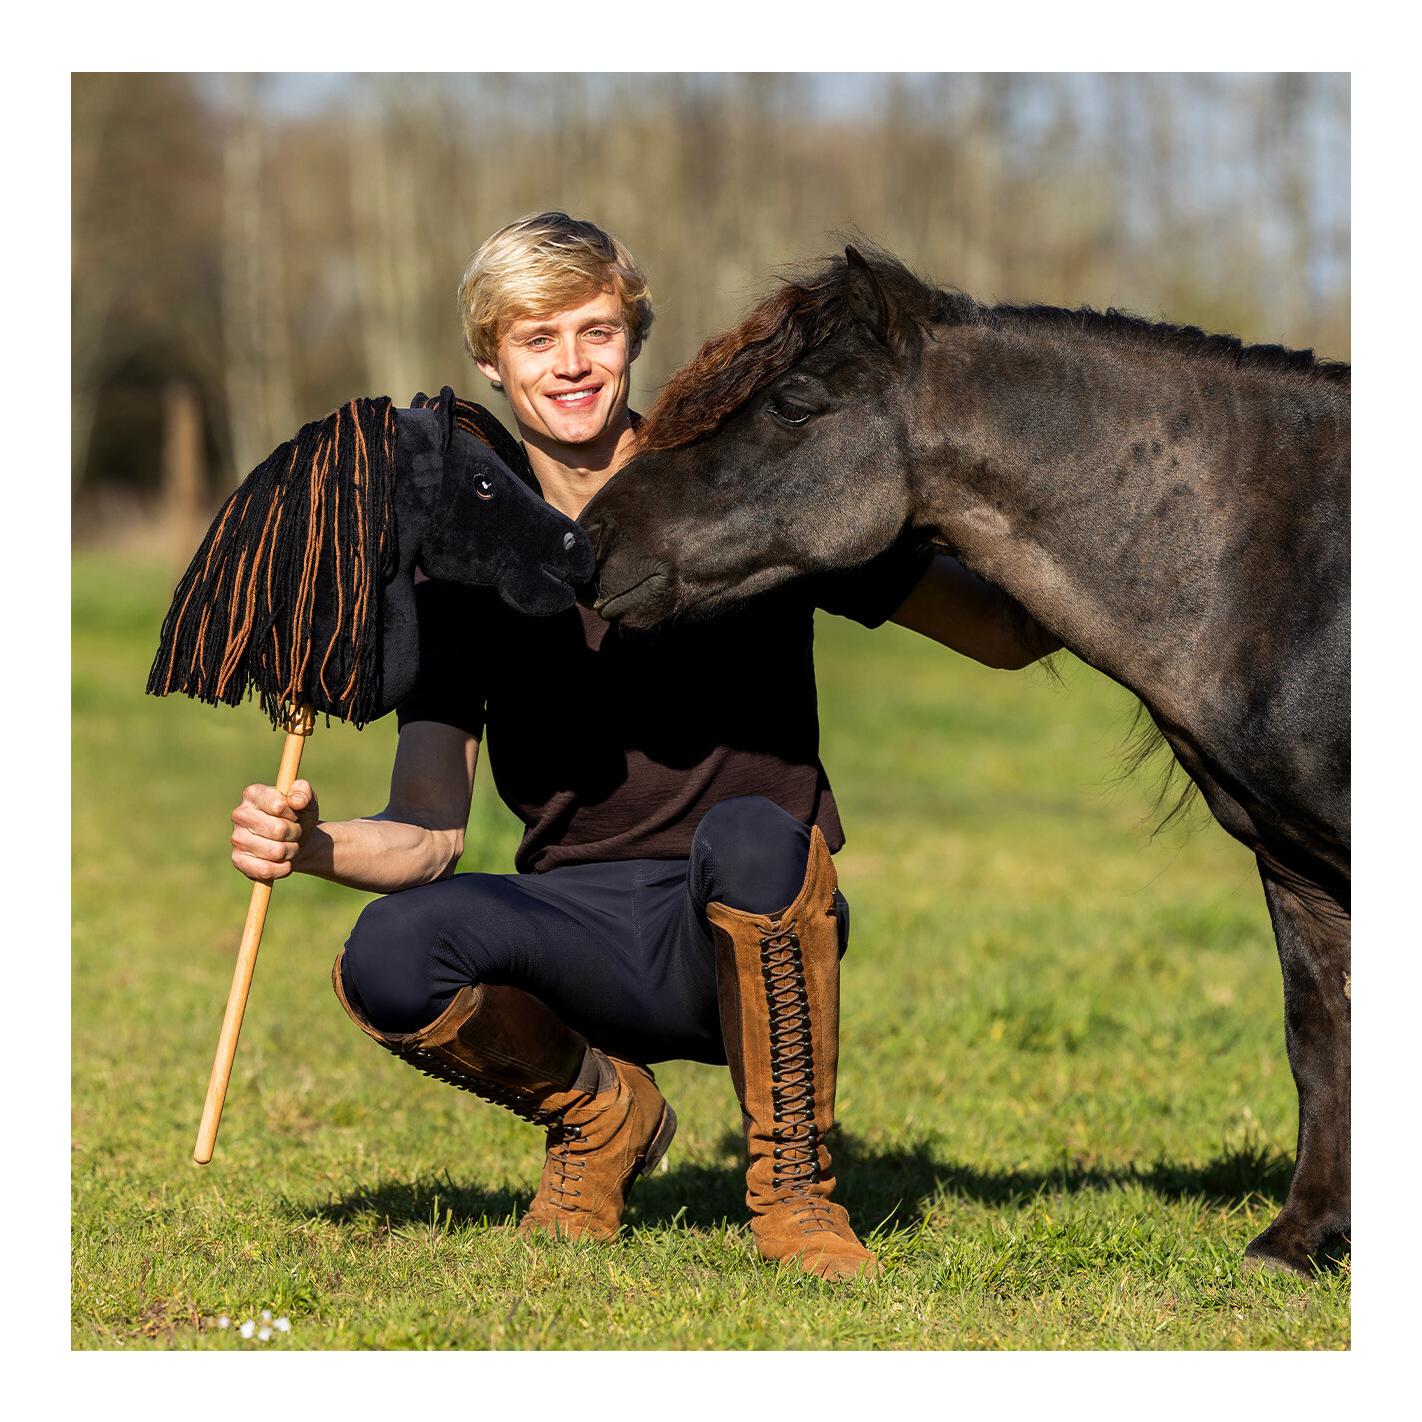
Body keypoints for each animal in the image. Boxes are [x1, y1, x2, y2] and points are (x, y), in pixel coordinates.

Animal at [578, 246, 1350, 1278]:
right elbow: (1317, 1034)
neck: (1290, 567)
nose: (589, 540)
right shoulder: (1296, 869)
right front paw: (1298, 1242)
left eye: (792, 404)